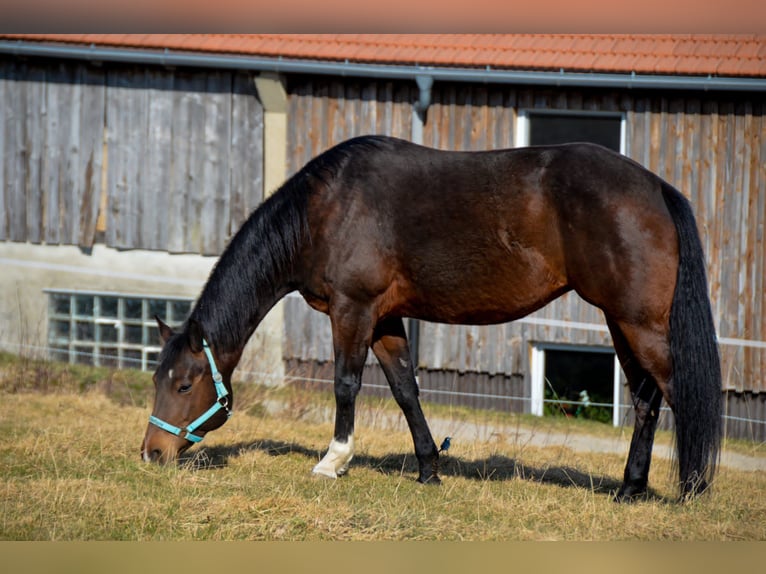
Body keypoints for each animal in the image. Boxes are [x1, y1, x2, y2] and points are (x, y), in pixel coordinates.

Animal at [141, 135, 722, 501]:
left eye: (185, 383)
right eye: (156, 380)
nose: (151, 453)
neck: (327, 208)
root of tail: (656, 188)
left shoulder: (352, 310)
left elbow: (346, 385)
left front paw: (333, 461)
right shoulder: (384, 319)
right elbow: (406, 391)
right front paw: (428, 471)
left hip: (640, 324)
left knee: (679, 393)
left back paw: (692, 489)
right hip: (621, 322)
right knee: (646, 401)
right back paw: (629, 489)